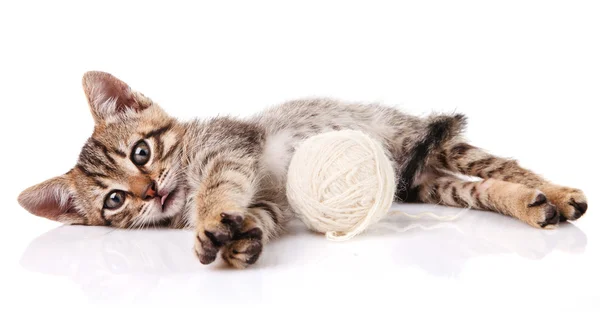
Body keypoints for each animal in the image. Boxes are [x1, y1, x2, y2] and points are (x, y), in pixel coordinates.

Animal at [17, 71, 584, 268]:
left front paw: (209, 220)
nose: (152, 190)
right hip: (433, 186)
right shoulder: (271, 201)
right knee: (482, 188)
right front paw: (240, 240)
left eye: (140, 153)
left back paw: (558, 193)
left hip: (428, 143)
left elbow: (218, 189)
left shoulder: (229, 148)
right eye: (114, 200)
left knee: (504, 165)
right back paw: (534, 206)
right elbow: (257, 215)